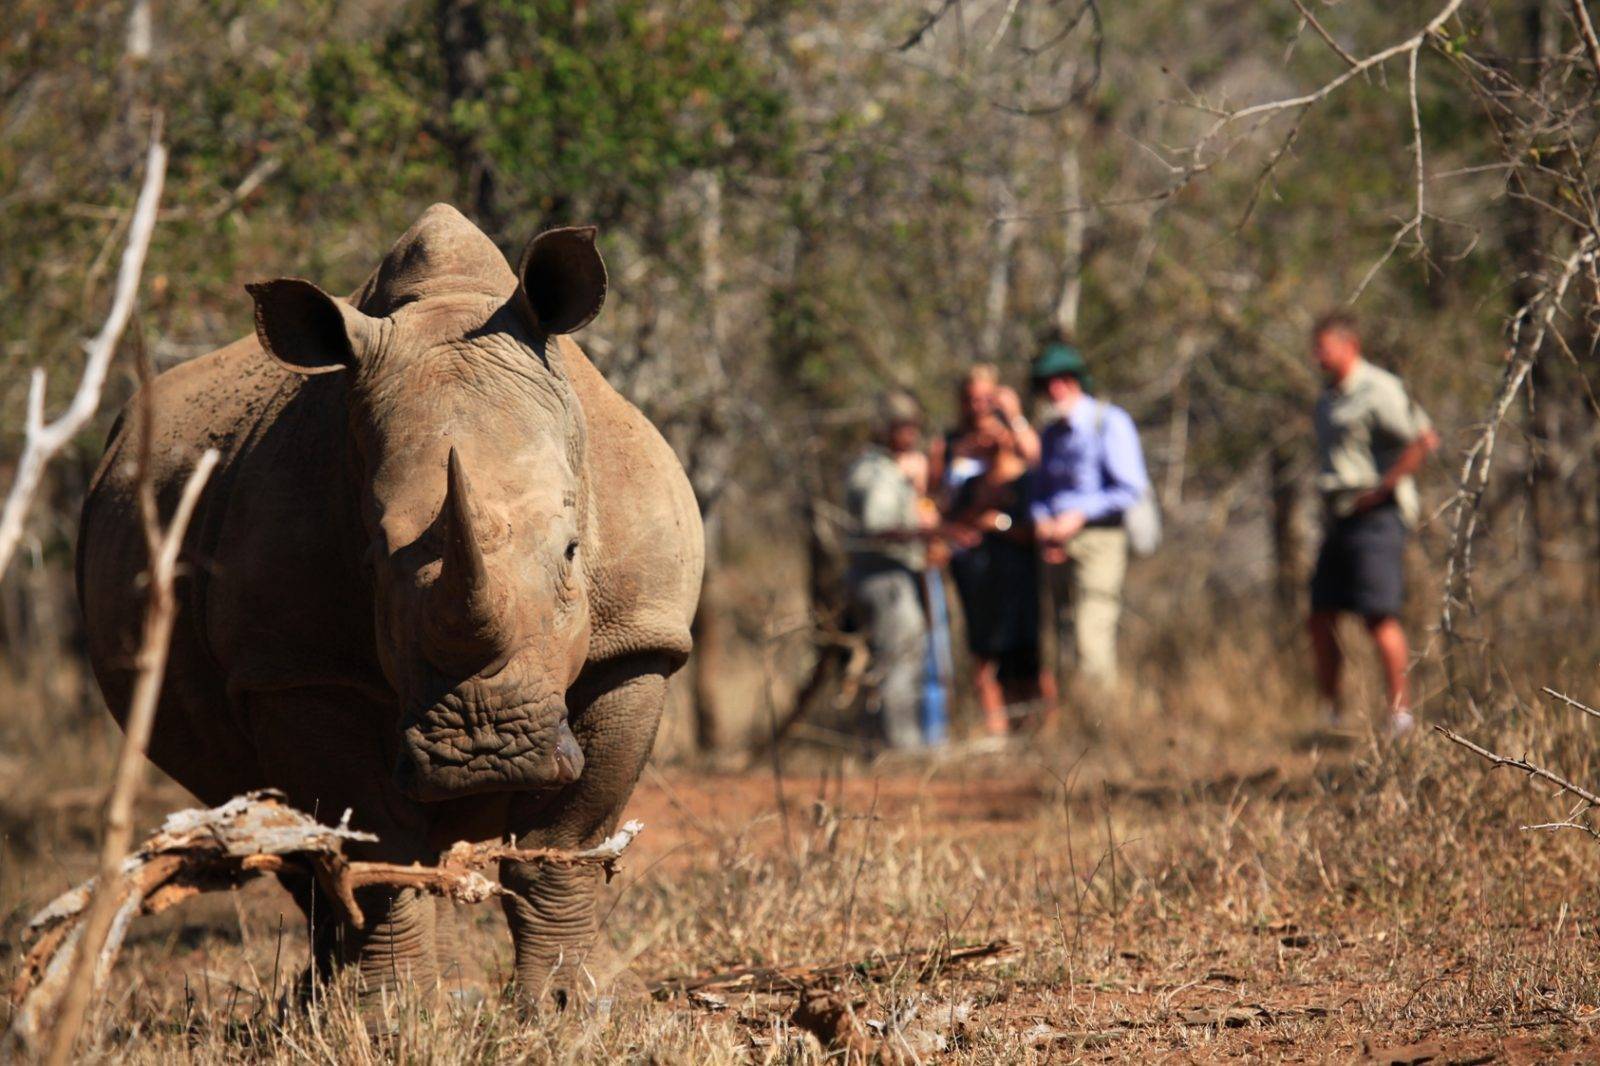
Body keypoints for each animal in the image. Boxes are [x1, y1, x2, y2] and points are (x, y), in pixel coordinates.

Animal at [76, 204, 703, 998]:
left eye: (571, 551)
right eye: (371, 563)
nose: (484, 754)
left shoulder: (638, 640)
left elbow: (565, 841)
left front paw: (570, 1005)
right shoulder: (298, 668)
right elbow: (374, 848)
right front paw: (396, 1011)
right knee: (295, 845)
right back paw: (336, 1005)